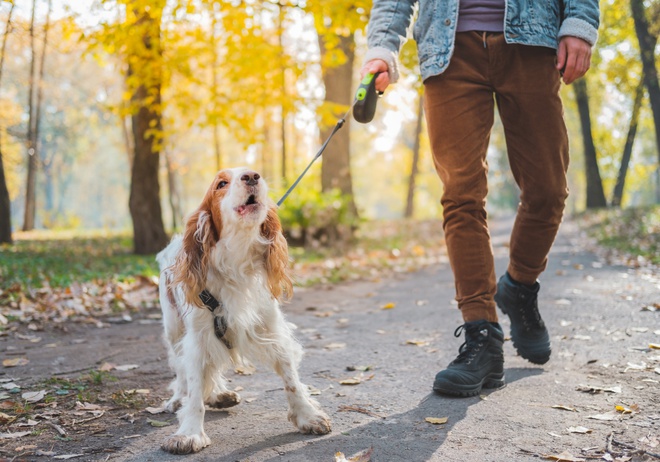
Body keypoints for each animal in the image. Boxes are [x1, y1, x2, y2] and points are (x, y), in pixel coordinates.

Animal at [155, 167, 330, 454]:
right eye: (221, 183)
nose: (251, 176)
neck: (236, 260)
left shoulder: (271, 328)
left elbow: (291, 378)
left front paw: (307, 415)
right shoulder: (198, 337)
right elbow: (194, 386)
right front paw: (189, 433)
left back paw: (219, 394)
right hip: (174, 328)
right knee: (180, 368)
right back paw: (179, 398)